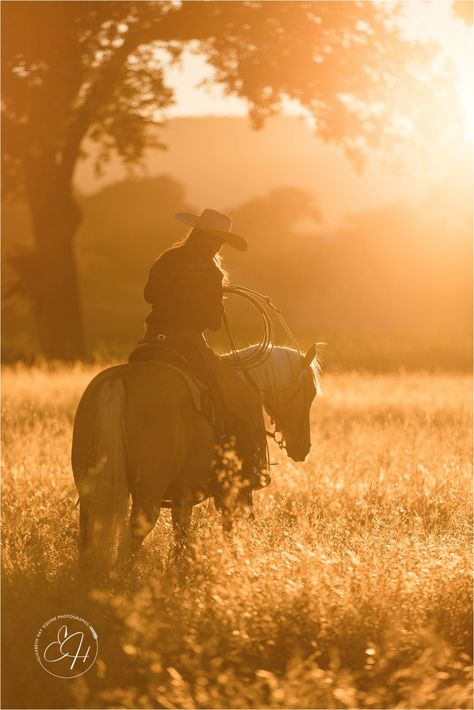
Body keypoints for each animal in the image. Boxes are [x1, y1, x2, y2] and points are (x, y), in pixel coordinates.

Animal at [70, 342, 320, 572]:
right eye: (310, 393)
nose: (303, 446)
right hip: (148, 493)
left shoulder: (183, 497)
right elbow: (227, 530)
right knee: (136, 531)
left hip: (90, 487)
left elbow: (181, 535)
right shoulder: (231, 493)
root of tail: (118, 381)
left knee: (88, 529)